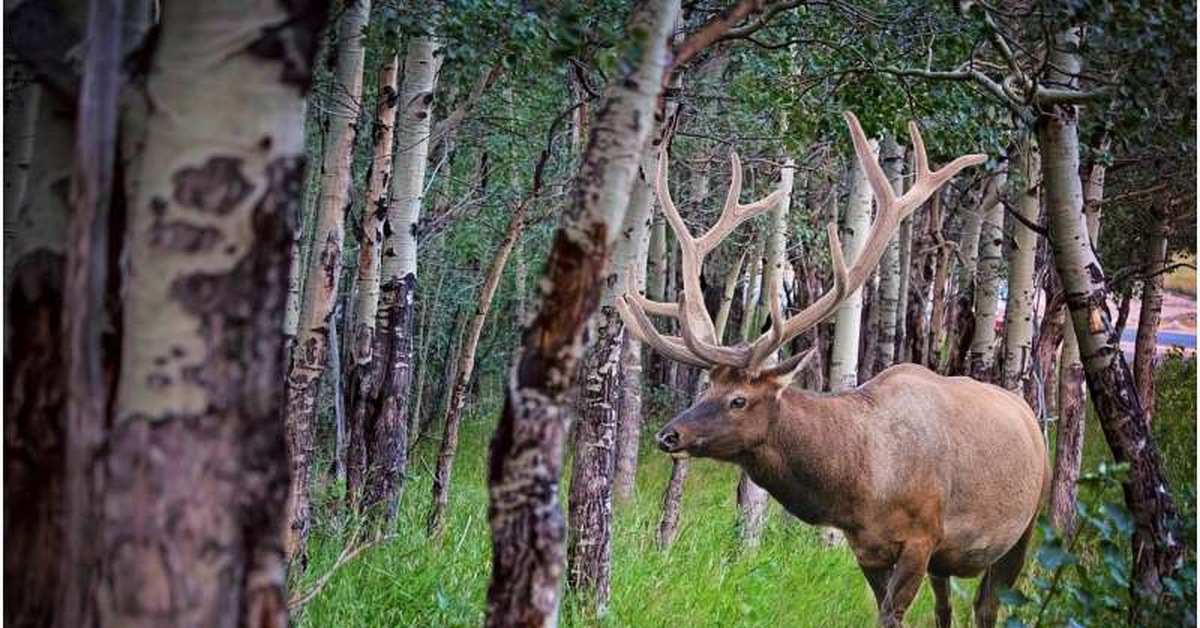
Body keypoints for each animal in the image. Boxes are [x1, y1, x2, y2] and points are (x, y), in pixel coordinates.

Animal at [624, 114, 1046, 628]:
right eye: (705, 388)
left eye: (738, 399)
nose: (669, 435)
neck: (861, 486)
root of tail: (1030, 417)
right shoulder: (867, 548)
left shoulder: (923, 536)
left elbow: (893, 617)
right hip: (950, 560)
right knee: (946, 608)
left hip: (1025, 526)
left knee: (988, 606)